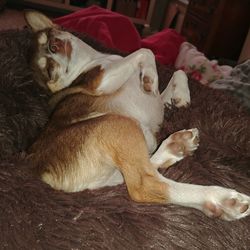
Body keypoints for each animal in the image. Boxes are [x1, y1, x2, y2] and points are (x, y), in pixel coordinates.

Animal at [25, 11, 250, 221]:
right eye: (50, 71)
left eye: (50, 36)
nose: (53, 46)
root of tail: (40, 173)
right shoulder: (101, 81)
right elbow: (145, 51)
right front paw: (150, 75)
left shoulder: (157, 100)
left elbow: (178, 73)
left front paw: (181, 97)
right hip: (119, 124)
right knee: (144, 184)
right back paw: (222, 200)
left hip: (129, 148)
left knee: (138, 170)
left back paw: (175, 146)